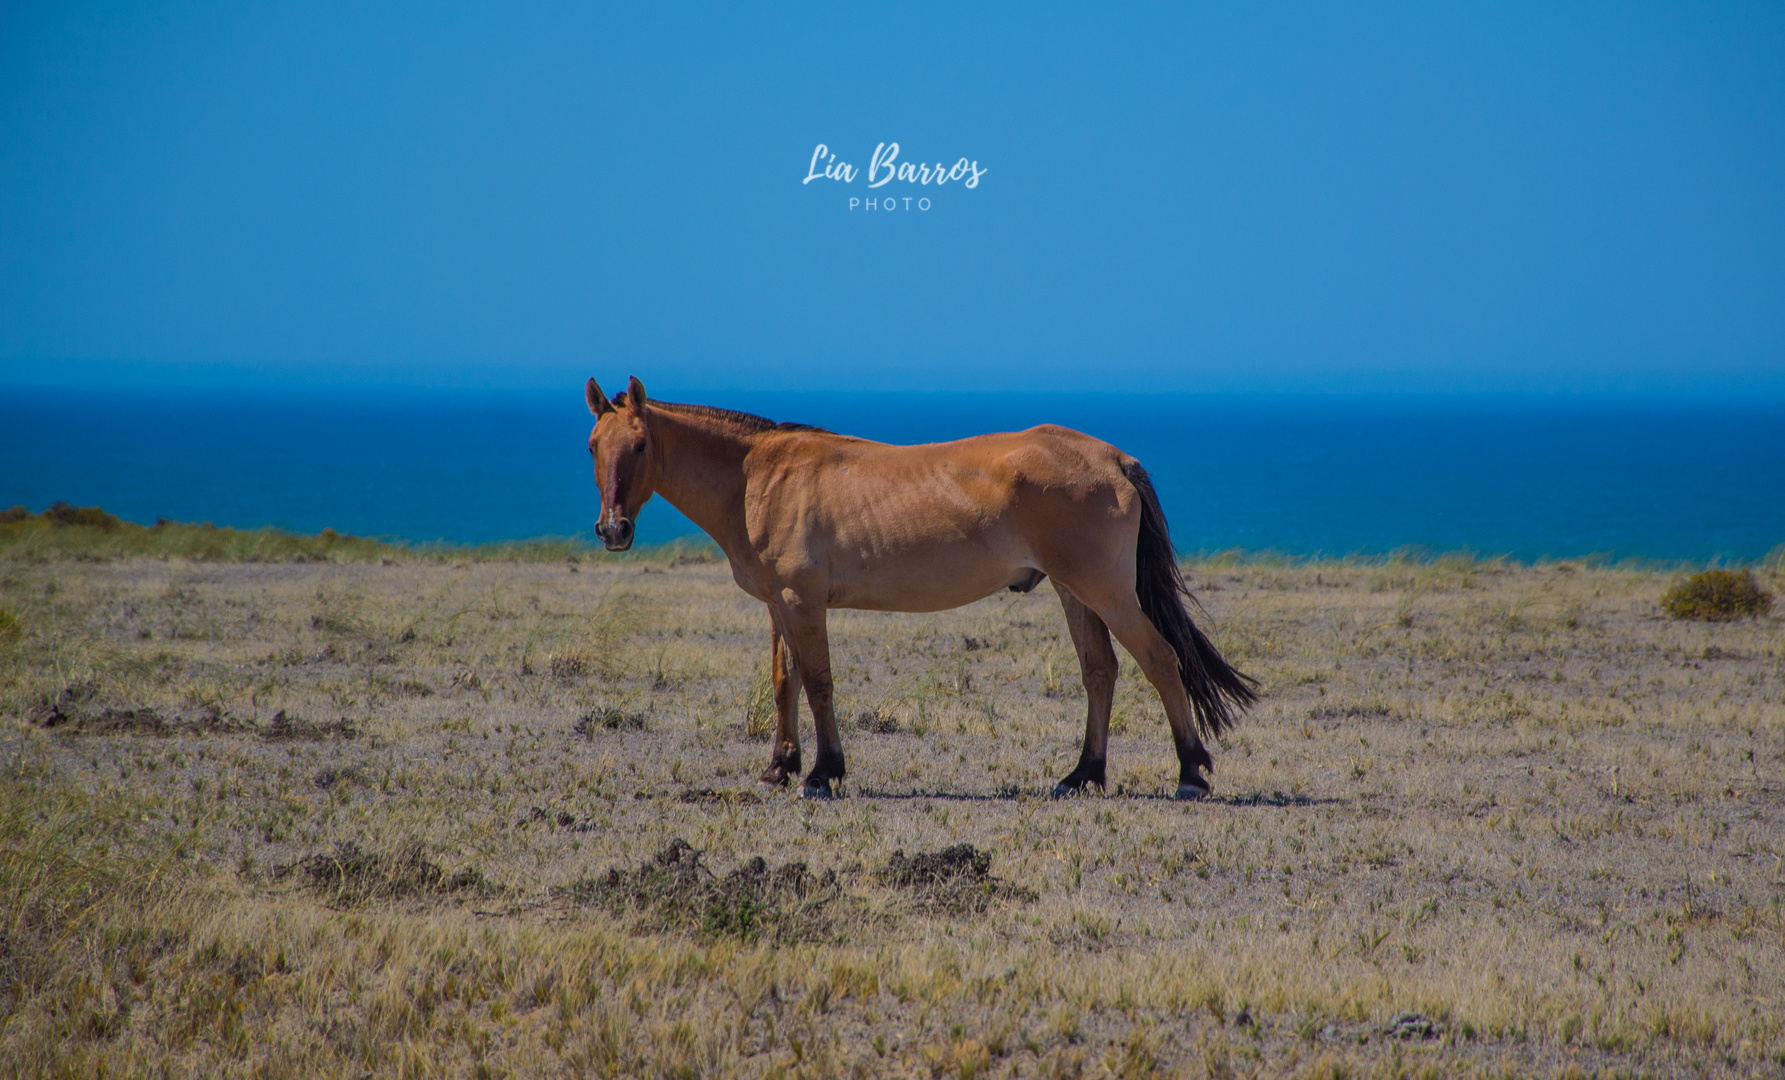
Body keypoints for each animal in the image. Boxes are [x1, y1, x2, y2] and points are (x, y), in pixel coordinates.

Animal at [585, 374, 1256, 796]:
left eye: (639, 445)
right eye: (593, 444)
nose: (614, 529)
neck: (759, 475)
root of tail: (1116, 458)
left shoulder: (803, 602)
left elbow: (820, 684)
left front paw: (823, 772)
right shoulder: (779, 606)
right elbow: (784, 683)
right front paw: (780, 767)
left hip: (1108, 593)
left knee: (1161, 661)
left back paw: (1190, 772)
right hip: (1076, 593)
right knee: (1100, 673)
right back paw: (1081, 775)